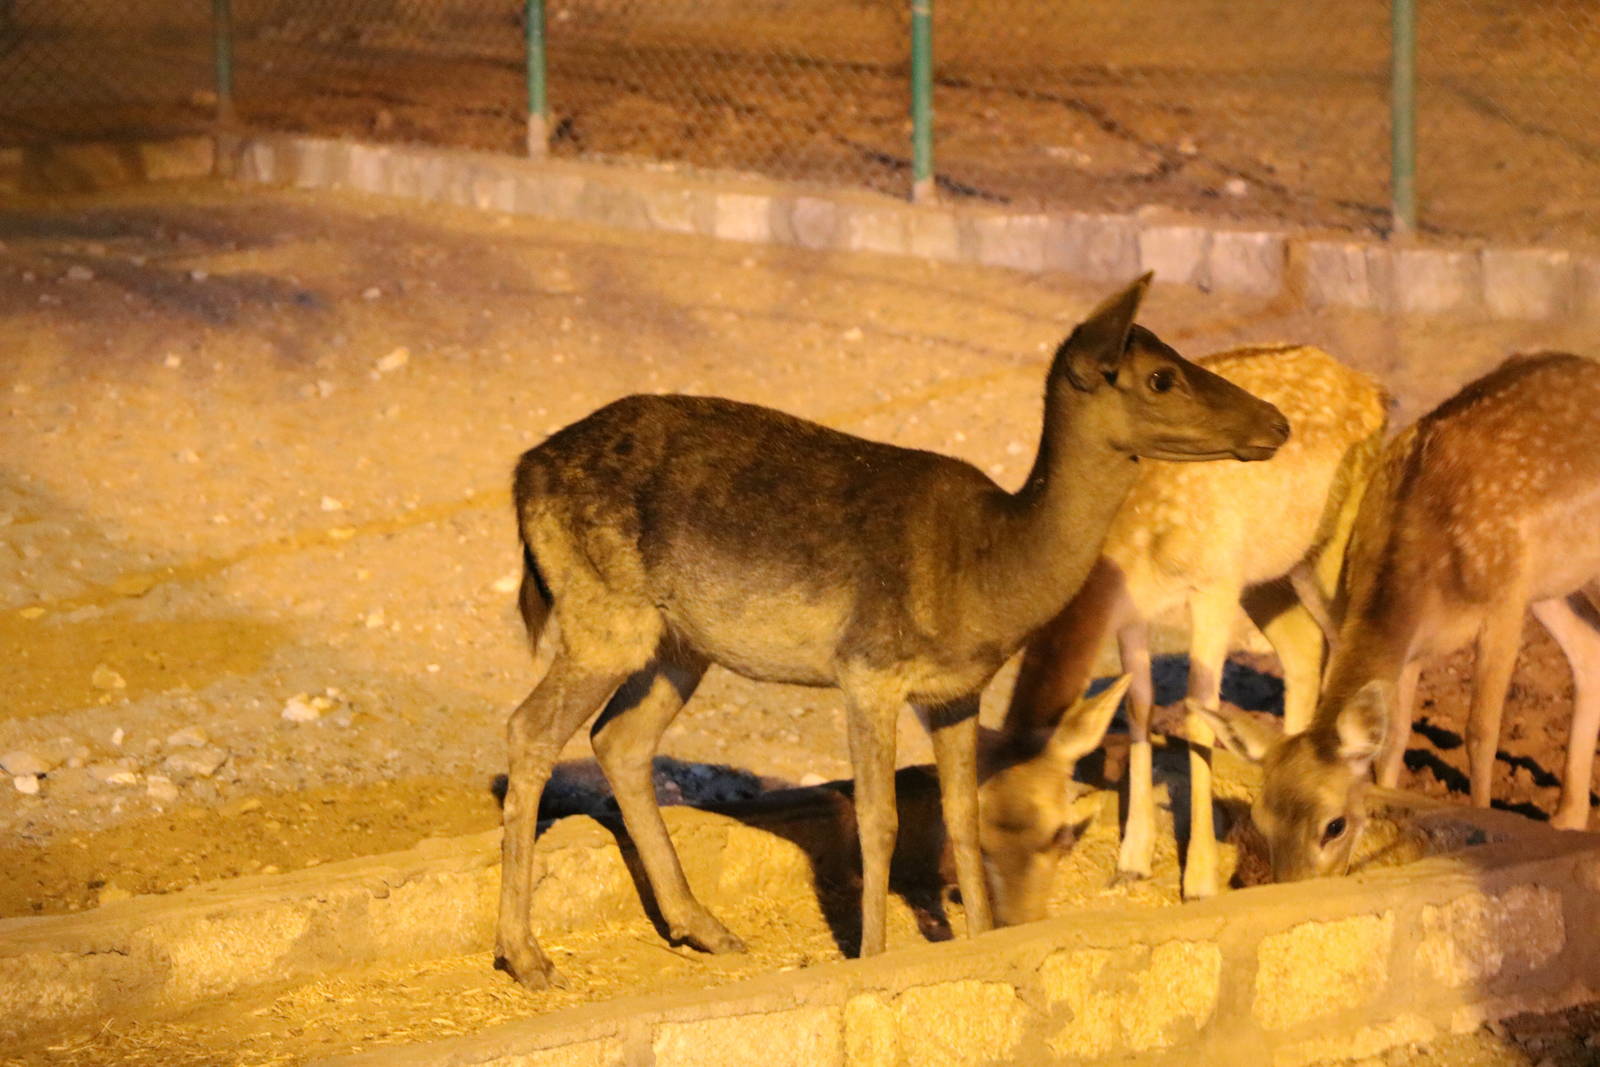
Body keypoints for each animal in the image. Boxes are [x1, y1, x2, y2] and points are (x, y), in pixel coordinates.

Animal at [494, 273, 1290, 990]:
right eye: (1160, 376)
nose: (1277, 422)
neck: (987, 573)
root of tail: (522, 472)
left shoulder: (957, 690)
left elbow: (959, 815)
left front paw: (978, 938)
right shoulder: (868, 666)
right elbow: (877, 819)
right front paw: (873, 953)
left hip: (679, 644)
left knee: (619, 739)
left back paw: (704, 927)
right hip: (604, 614)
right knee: (530, 728)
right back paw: (526, 956)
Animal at [993, 345, 1387, 901]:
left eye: (1049, 831)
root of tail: (1371, 385)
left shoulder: (1214, 585)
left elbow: (1201, 712)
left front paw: (1199, 880)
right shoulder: (1133, 608)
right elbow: (1138, 704)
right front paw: (1131, 861)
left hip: (1335, 538)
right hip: (1267, 570)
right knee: (1305, 646)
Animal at [1202, 352, 1600, 883]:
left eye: (1333, 826)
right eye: (1261, 820)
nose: (1294, 885)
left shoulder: (1505, 599)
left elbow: (1480, 729)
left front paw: (1484, 821)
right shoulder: (1412, 648)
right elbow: (1393, 740)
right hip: (1556, 587)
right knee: (1589, 650)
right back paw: (1568, 819)